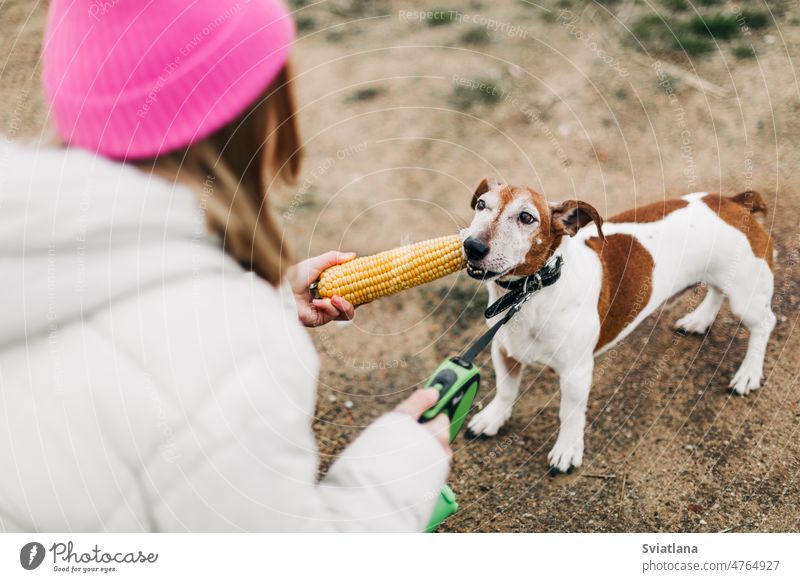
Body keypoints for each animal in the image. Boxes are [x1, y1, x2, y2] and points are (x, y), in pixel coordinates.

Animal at [462, 180, 776, 476]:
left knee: (764, 324)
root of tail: (735, 203)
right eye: (481, 205)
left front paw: (567, 450)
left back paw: (749, 373)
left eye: (526, 217)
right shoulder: (503, 352)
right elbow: (505, 391)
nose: (471, 246)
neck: (531, 292)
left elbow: (570, 414)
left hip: (745, 297)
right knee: (716, 291)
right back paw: (699, 320)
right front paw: (492, 419)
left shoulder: (576, 374)